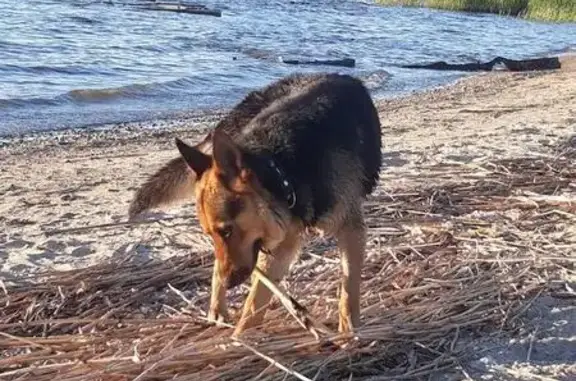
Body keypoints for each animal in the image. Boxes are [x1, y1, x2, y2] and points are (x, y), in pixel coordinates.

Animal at [130, 72, 382, 336]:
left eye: (227, 231)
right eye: (212, 234)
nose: (228, 283)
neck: (284, 169)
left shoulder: (348, 232)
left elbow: (349, 289)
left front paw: (348, 330)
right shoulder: (278, 246)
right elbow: (253, 304)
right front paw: (239, 339)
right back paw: (217, 307)